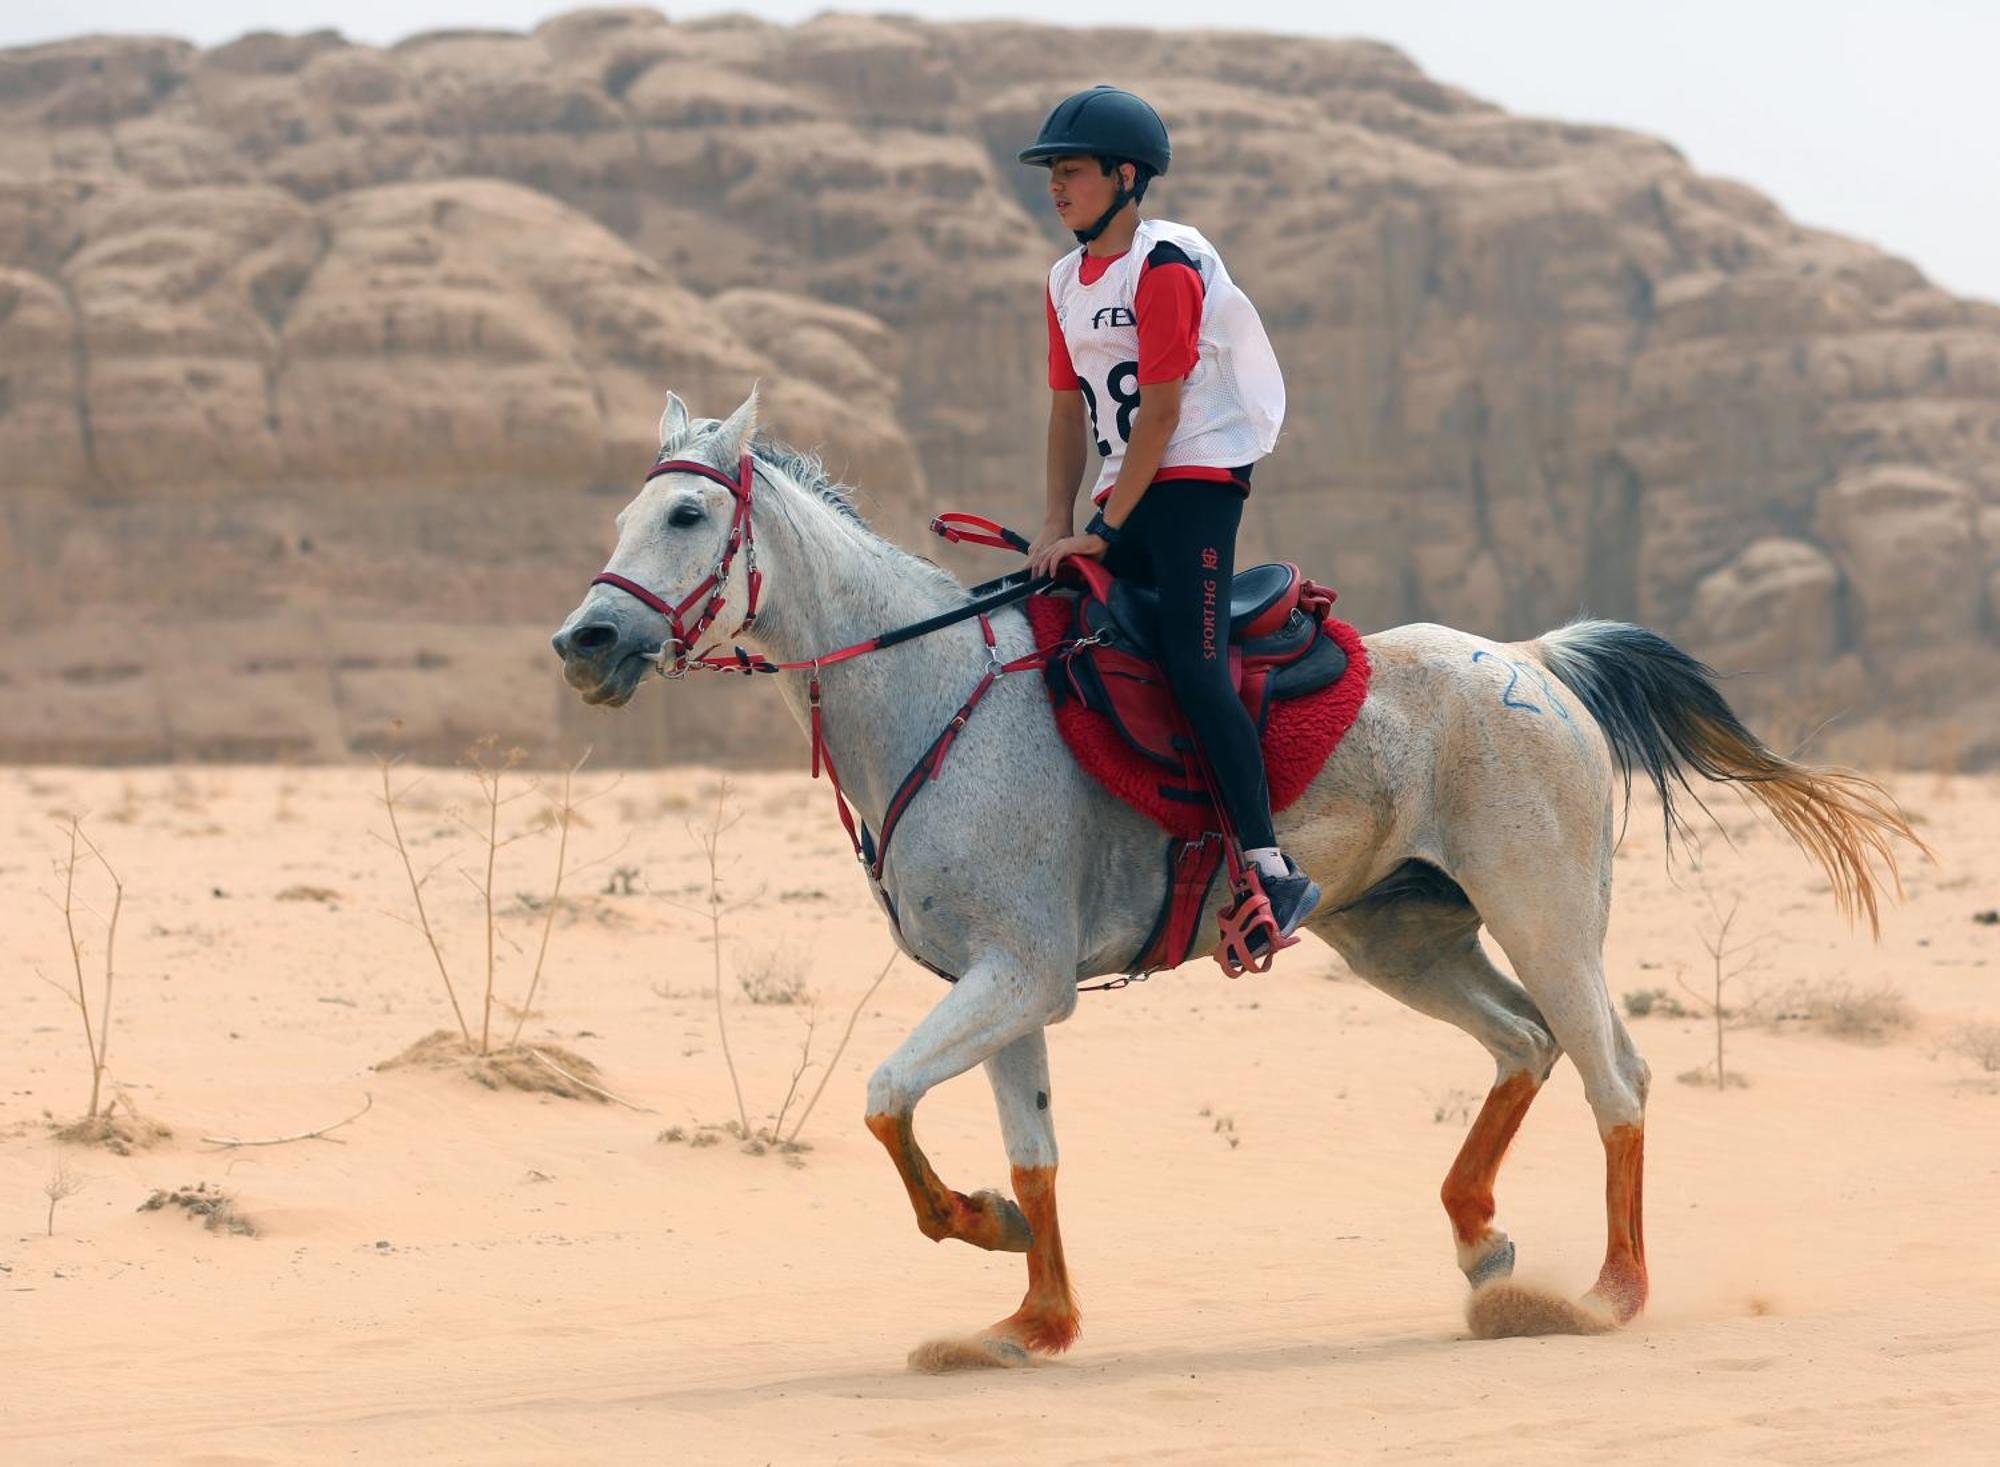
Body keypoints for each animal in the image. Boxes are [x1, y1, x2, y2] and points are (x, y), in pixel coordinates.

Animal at [552, 391, 1920, 1367]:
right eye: (618, 521)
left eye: (683, 521)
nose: (585, 642)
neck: (935, 694)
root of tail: (1531, 658)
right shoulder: (999, 988)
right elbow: (1029, 1151)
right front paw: (1031, 1322)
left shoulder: (1020, 979)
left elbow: (887, 1099)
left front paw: (977, 1226)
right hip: (1401, 938)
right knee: (1521, 1045)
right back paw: (1482, 1243)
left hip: (1542, 919)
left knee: (1611, 1076)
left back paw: (1604, 1294)